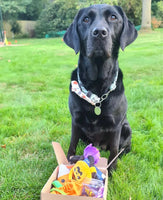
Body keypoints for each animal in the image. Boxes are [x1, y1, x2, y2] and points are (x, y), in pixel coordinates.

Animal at [63, 4, 137, 173]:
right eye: (85, 19)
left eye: (113, 17)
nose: (99, 32)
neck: (96, 88)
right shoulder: (75, 120)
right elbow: (72, 143)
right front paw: (69, 161)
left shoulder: (116, 125)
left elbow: (114, 150)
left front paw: (110, 171)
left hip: (126, 127)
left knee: (122, 149)